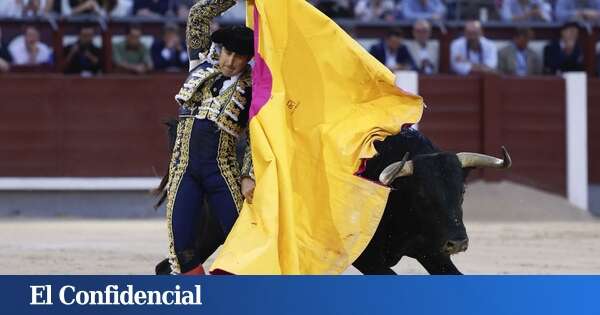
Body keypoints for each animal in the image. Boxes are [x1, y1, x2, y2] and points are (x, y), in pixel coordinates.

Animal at [155, 127, 510, 276]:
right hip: (204, 235)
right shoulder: (368, 258)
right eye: (423, 195)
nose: (457, 242)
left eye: (461, 192)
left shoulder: (429, 250)